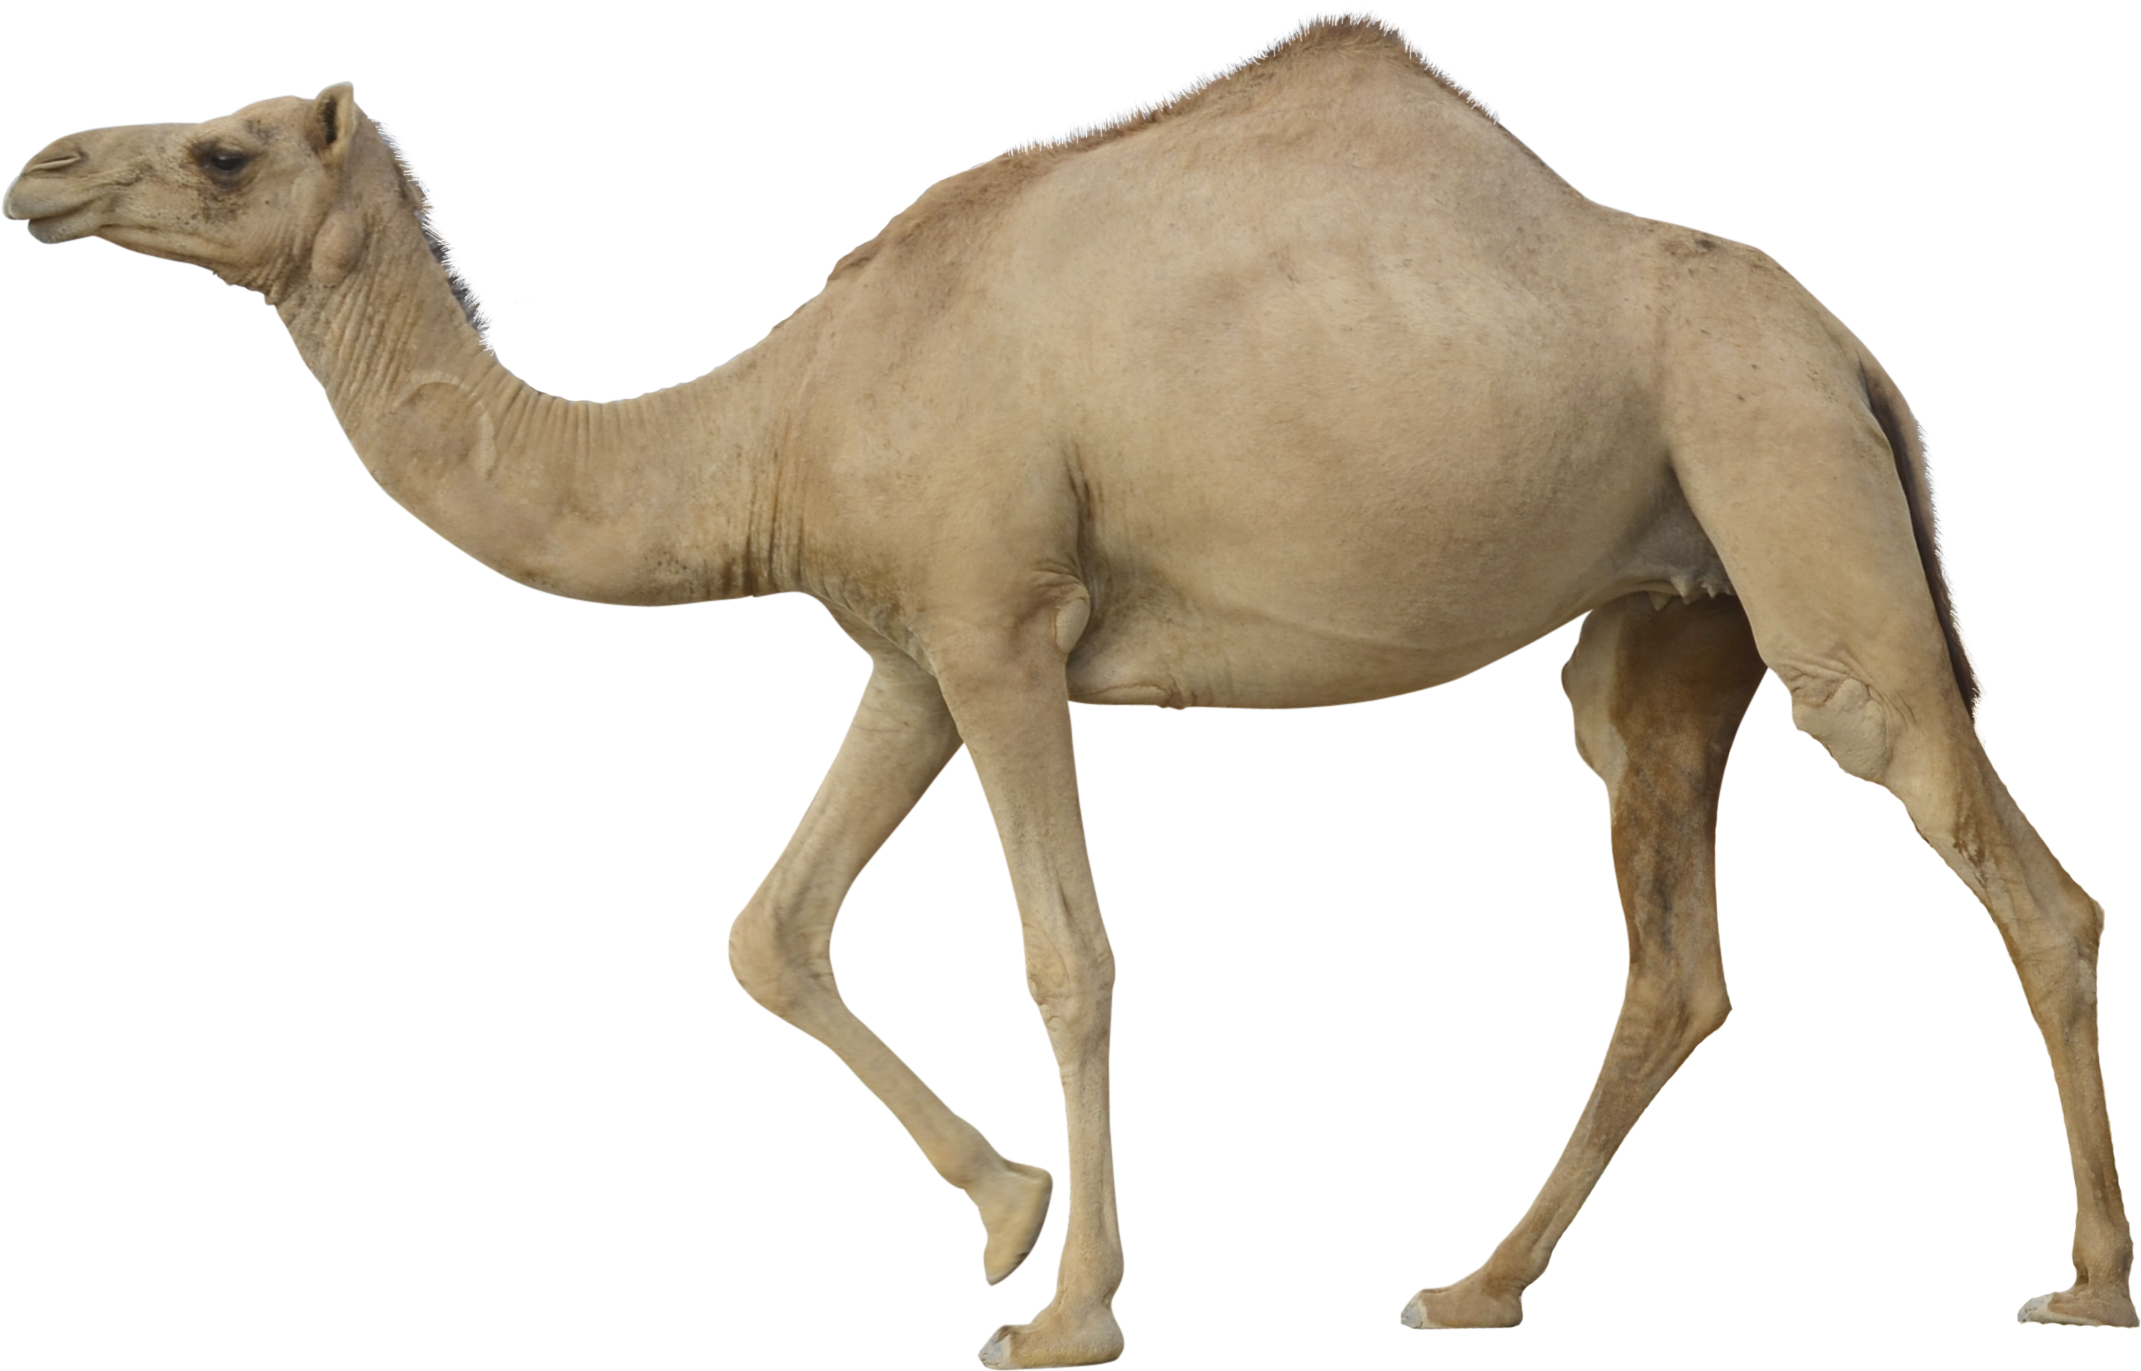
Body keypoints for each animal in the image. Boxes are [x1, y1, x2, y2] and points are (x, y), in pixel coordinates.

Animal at [7, 7, 2131, 1360]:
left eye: (223, 142)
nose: (41, 170)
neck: (767, 420)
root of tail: (1859, 357)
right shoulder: (912, 654)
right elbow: (768, 930)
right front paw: (1009, 1212)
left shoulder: (1006, 623)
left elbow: (1071, 955)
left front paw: (1070, 1307)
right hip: (1672, 623)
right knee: (1673, 948)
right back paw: (1472, 1285)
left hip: (1806, 518)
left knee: (2023, 882)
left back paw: (2092, 1283)